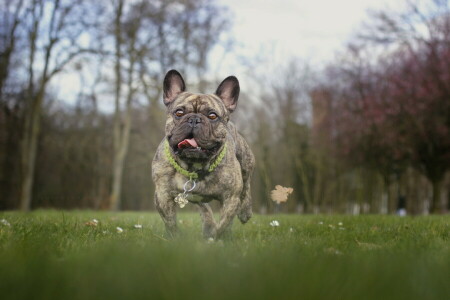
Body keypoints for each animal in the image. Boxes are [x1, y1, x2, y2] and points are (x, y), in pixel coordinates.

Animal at [153, 69, 255, 239]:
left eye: (212, 116)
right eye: (179, 113)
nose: (194, 119)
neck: (194, 166)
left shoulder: (231, 198)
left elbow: (224, 223)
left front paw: (215, 238)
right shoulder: (162, 195)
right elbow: (170, 223)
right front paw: (176, 239)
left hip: (246, 161)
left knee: (246, 185)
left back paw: (244, 212)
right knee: (204, 207)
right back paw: (208, 225)